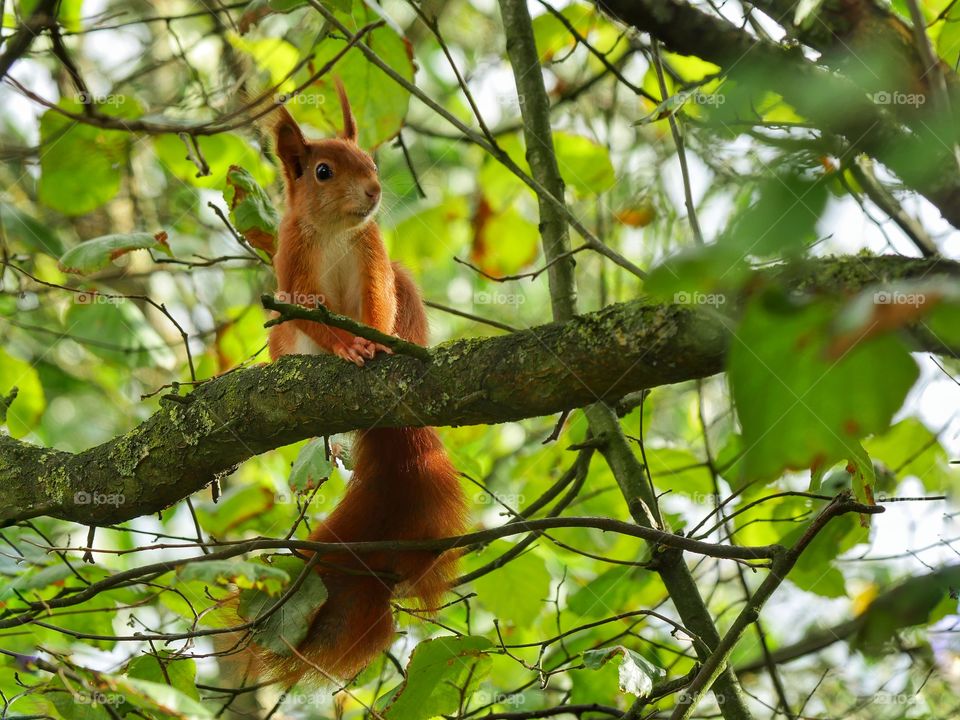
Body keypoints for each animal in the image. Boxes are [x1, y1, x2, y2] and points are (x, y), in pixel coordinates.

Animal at [258, 81, 468, 684]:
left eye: (372, 162)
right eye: (323, 172)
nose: (374, 190)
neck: (334, 231)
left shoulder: (373, 254)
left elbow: (378, 298)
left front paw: (371, 341)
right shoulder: (290, 264)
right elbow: (306, 313)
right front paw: (347, 347)